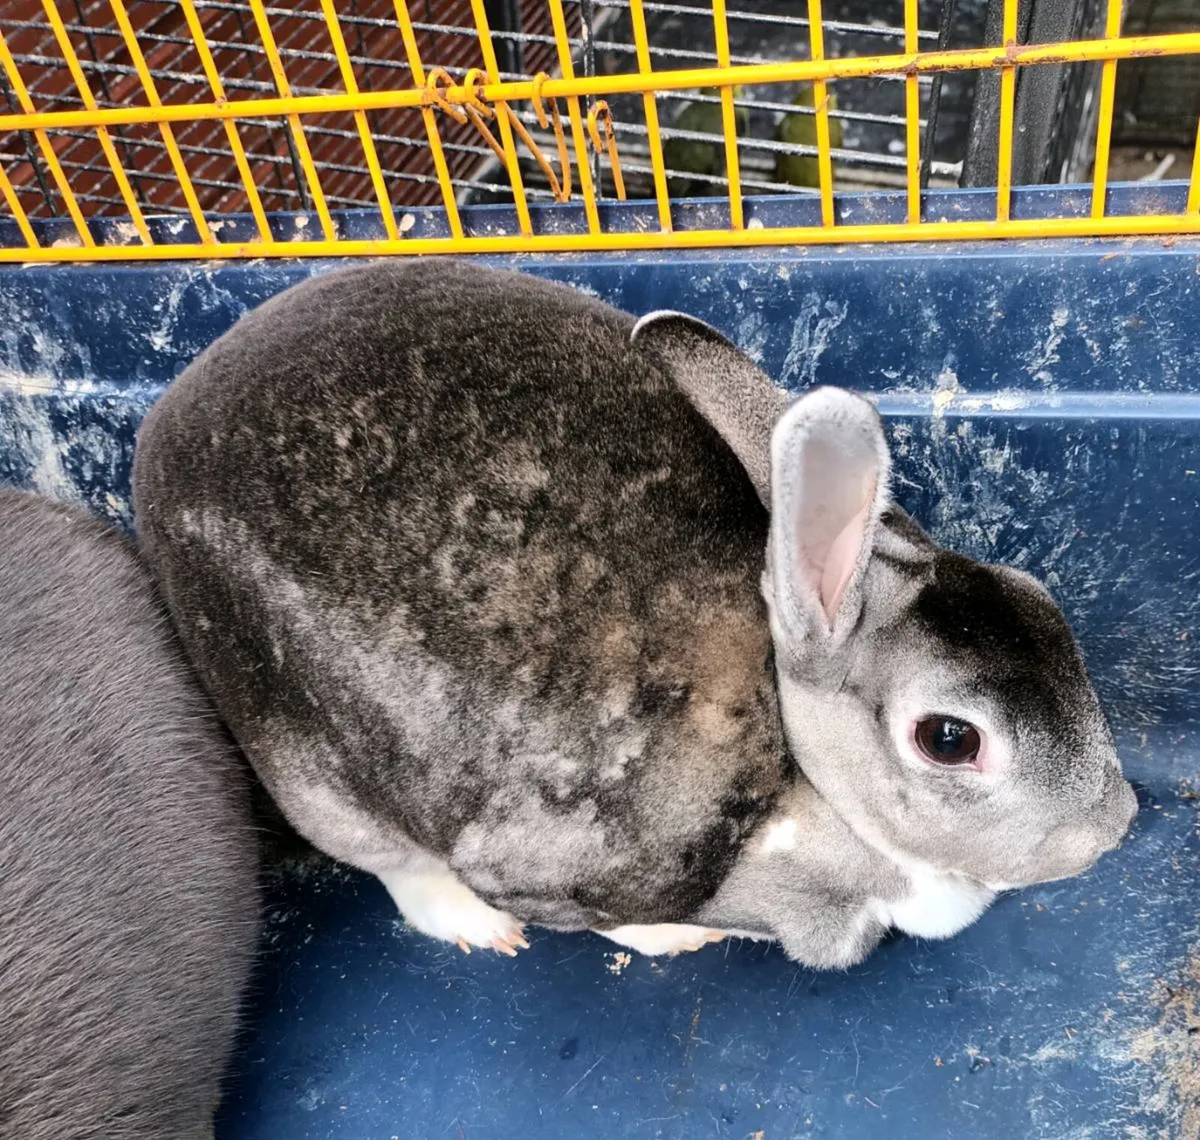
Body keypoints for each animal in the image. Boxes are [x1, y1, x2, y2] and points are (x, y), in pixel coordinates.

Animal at [131, 258, 1136, 969]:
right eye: (950, 739)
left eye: (1039, 598)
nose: (1116, 825)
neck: (802, 768)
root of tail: (158, 431)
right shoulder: (568, 867)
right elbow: (601, 918)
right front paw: (672, 938)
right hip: (307, 769)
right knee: (397, 865)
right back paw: (473, 927)